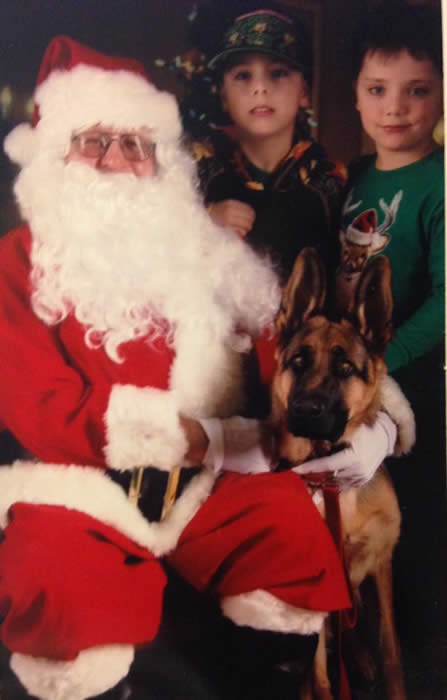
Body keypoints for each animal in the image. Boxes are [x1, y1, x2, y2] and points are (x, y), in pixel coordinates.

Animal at [270, 247, 407, 700]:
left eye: (345, 368)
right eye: (298, 362)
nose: (303, 413)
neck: (334, 488)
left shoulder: (381, 558)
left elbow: (390, 646)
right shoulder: (318, 581)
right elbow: (318, 664)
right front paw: (319, 684)